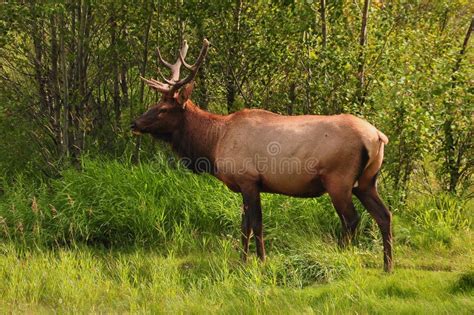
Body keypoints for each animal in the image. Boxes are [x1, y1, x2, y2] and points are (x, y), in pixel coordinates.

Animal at [131, 39, 394, 272]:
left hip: (338, 179)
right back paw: (387, 266)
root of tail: (378, 136)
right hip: (367, 181)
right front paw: (242, 261)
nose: (135, 123)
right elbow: (244, 225)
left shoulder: (249, 179)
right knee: (384, 215)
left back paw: (340, 257)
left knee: (351, 219)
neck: (214, 144)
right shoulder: (245, 184)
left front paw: (261, 260)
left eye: (163, 109)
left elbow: (256, 223)